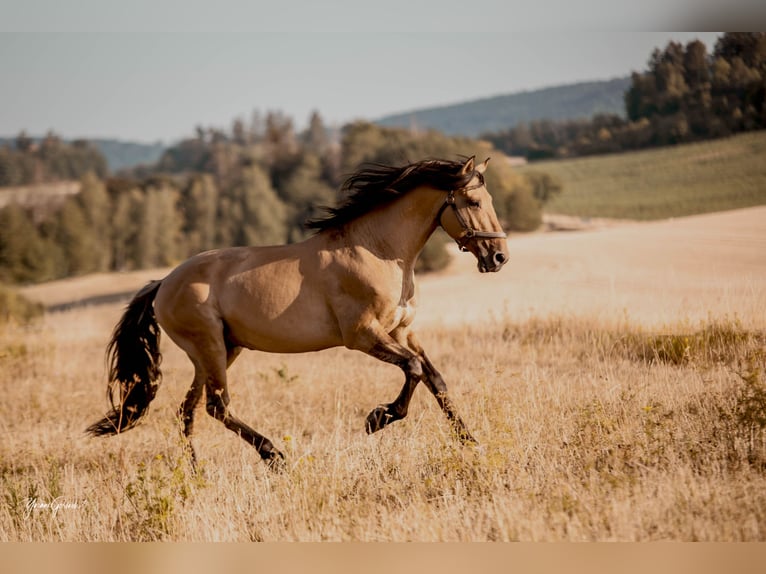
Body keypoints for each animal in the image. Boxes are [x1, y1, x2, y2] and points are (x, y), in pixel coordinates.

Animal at [85, 156, 510, 468]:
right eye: (473, 203)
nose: (499, 257)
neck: (377, 250)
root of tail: (163, 284)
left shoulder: (402, 330)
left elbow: (435, 379)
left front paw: (470, 441)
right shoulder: (363, 335)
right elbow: (415, 369)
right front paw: (377, 419)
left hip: (218, 351)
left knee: (186, 411)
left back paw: (195, 474)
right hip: (210, 348)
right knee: (216, 406)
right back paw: (274, 455)